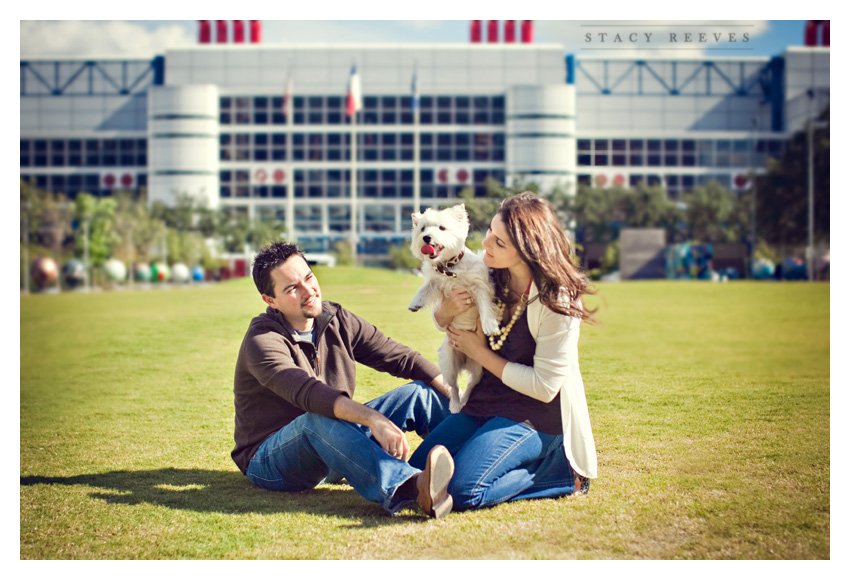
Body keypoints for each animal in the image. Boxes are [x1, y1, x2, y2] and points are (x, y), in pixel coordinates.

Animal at [408, 204, 500, 412]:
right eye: (423, 229)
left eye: (442, 228)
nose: (427, 238)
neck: (450, 268)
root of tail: (465, 361)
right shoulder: (435, 283)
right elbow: (424, 289)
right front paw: (415, 303)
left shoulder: (480, 286)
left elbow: (485, 306)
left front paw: (490, 325)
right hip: (449, 363)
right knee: (454, 385)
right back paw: (456, 405)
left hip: (480, 367)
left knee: (471, 384)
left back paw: (464, 401)